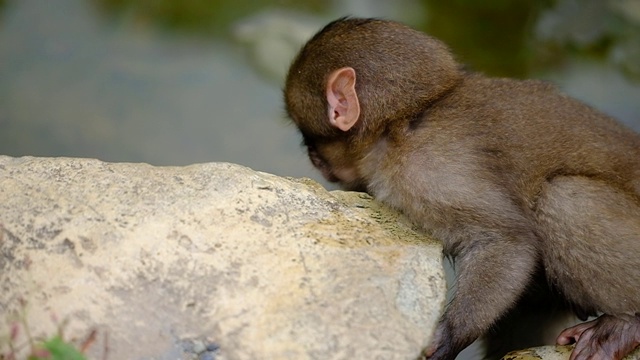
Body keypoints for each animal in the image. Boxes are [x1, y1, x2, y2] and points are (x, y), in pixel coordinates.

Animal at [284, 18, 640, 360]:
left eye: (308, 138)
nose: (313, 156)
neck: (406, 119)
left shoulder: (426, 170)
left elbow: (507, 241)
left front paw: (449, 336)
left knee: (565, 199)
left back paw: (625, 325)